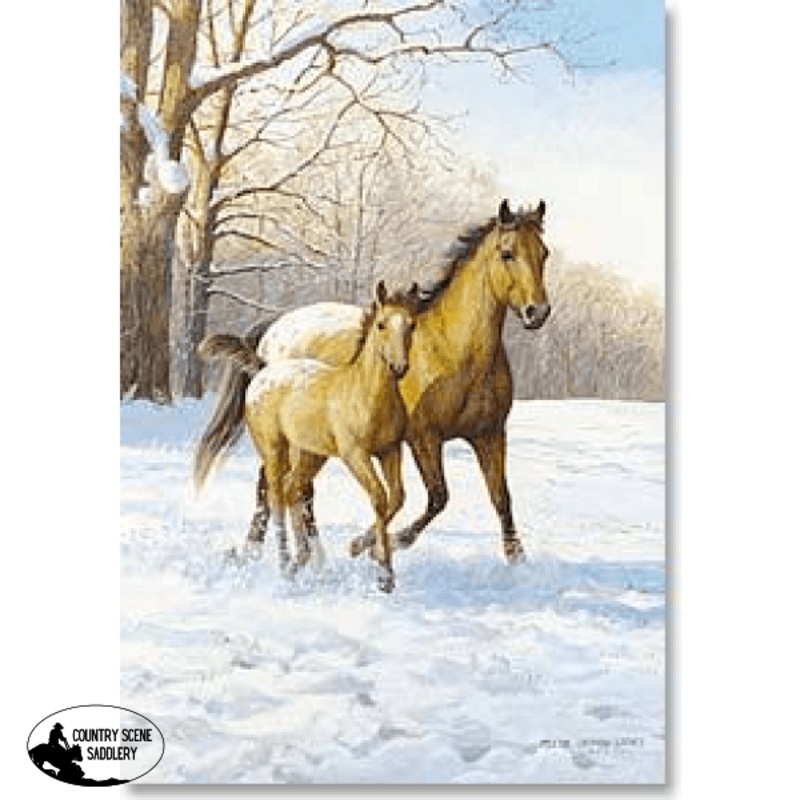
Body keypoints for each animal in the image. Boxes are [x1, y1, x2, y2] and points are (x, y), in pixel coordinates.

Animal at [199, 281, 417, 592]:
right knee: (276, 493)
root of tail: (264, 369)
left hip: (310, 454)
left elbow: (396, 497)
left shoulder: (391, 451)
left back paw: (296, 561)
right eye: (381, 324)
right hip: (275, 449)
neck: (363, 395)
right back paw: (284, 562)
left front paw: (377, 563)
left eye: (412, 324)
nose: (399, 367)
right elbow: (379, 496)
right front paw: (383, 572)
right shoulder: (355, 455)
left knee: (293, 489)